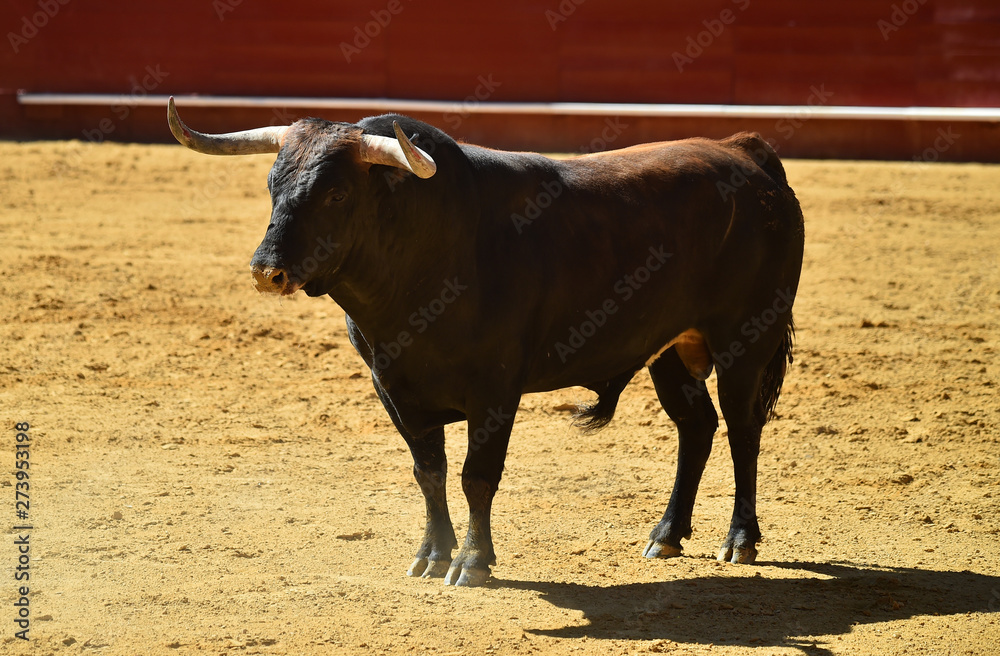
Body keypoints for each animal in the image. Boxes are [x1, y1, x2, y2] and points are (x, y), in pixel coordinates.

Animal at [166, 98, 804, 588]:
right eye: (273, 185)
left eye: (338, 195)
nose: (266, 271)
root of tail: (744, 151)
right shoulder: (392, 385)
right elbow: (429, 471)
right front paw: (430, 556)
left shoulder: (495, 387)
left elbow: (478, 474)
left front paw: (472, 563)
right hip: (669, 349)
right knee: (696, 426)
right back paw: (666, 536)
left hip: (746, 340)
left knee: (743, 428)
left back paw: (740, 540)